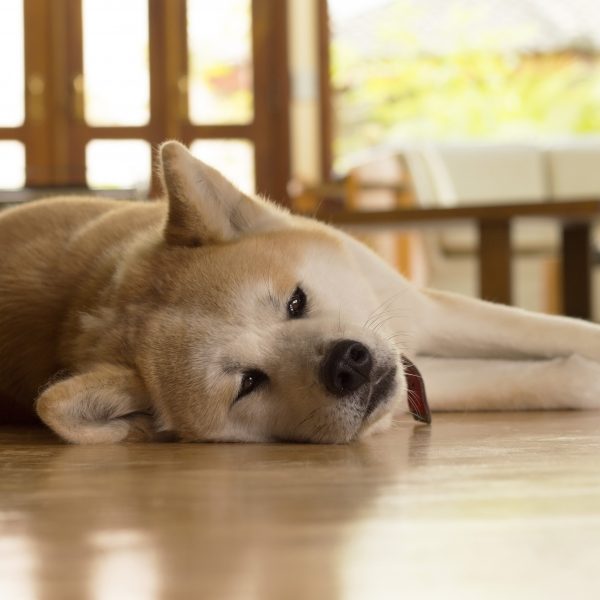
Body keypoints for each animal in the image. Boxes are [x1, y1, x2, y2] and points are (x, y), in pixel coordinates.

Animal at [1, 138, 600, 442]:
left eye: (296, 301)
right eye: (248, 383)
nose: (348, 363)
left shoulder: (426, 314)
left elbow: (566, 331)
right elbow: (538, 379)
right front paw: (580, 379)